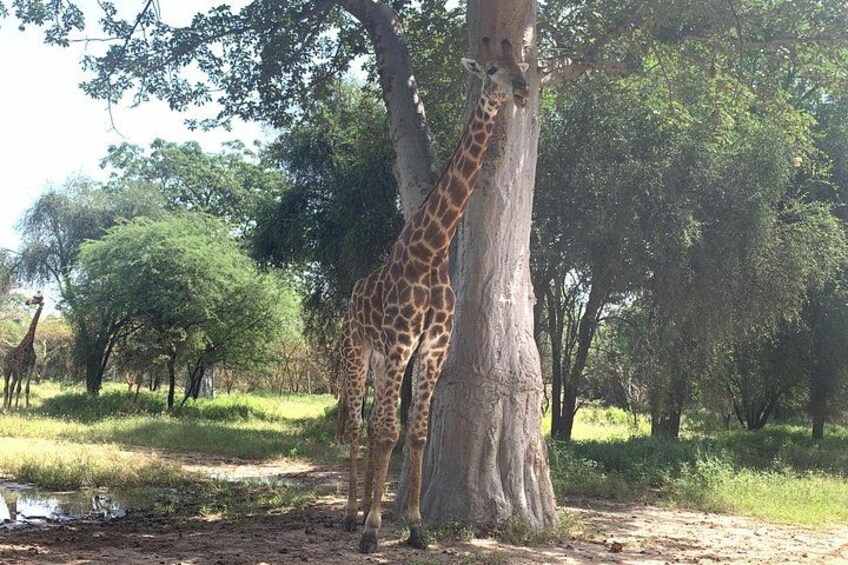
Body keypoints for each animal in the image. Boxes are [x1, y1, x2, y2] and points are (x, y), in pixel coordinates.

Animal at [336, 37, 530, 554]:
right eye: (491, 70)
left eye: (522, 65)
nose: (523, 91)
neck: (433, 249)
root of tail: (351, 297)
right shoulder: (402, 343)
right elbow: (389, 430)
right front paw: (373, 530)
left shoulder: (432, 348)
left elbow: (417, 432)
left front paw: (415, 526)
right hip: (358, 352)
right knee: (358, 422)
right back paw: (350, 514)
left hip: (381, 360)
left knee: (374, 421)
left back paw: (363, 508)